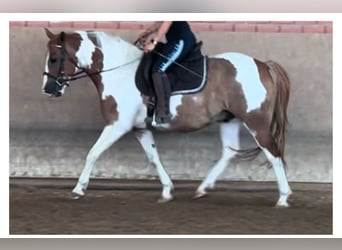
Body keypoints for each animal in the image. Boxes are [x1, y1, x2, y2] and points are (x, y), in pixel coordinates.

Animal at [40, 27, 292, 207]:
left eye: (54, 58)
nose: (48, 89)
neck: (119, 72)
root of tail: (262, 65)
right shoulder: (140, 128)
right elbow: (154, 158)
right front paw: (167, 191)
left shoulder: (117, 126)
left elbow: (92, 153)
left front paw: (78, 189)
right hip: (229, 119)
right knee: (229, 152)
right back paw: (202, 189)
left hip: (255, 121)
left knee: (273, 154)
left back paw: (283, 197)